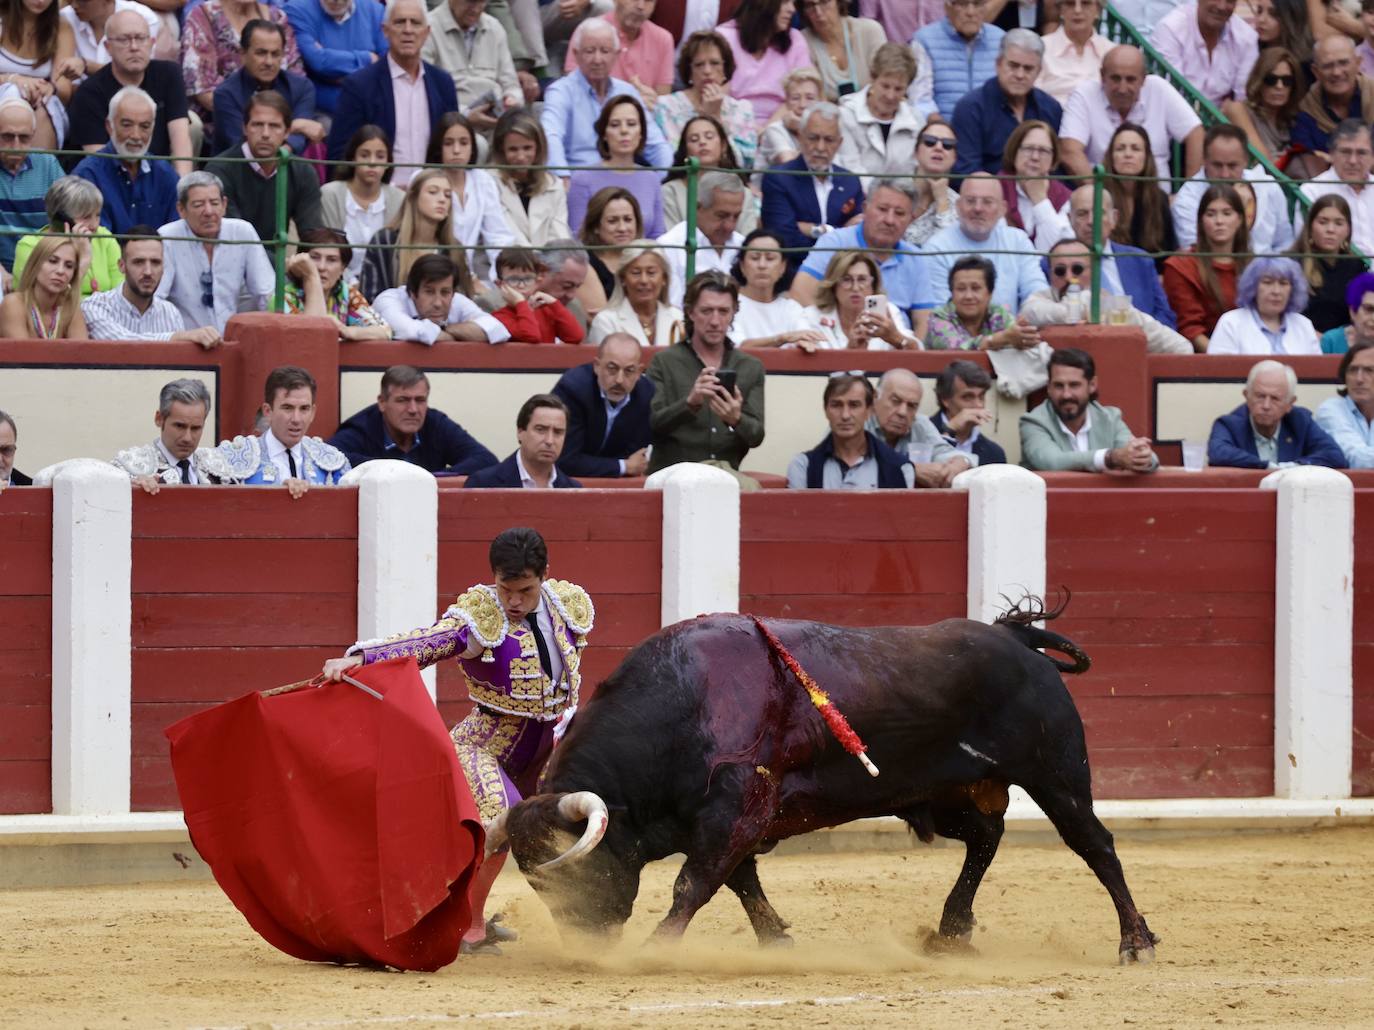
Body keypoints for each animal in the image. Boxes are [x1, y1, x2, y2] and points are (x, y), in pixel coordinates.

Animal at [483, 601, 1159, 966]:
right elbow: (739, 881)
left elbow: (694, 883)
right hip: (943, 795)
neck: (681, 705)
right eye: (534, 880)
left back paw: (1135, 943)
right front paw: (776, 937)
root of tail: (1016, 638)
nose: (586, 945)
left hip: (1056, 773)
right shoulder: (730, 819)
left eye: (575, 869)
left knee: (1095, 844)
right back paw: (950, 930)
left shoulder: (736, 809)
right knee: (984, 839)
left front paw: (655, 950)